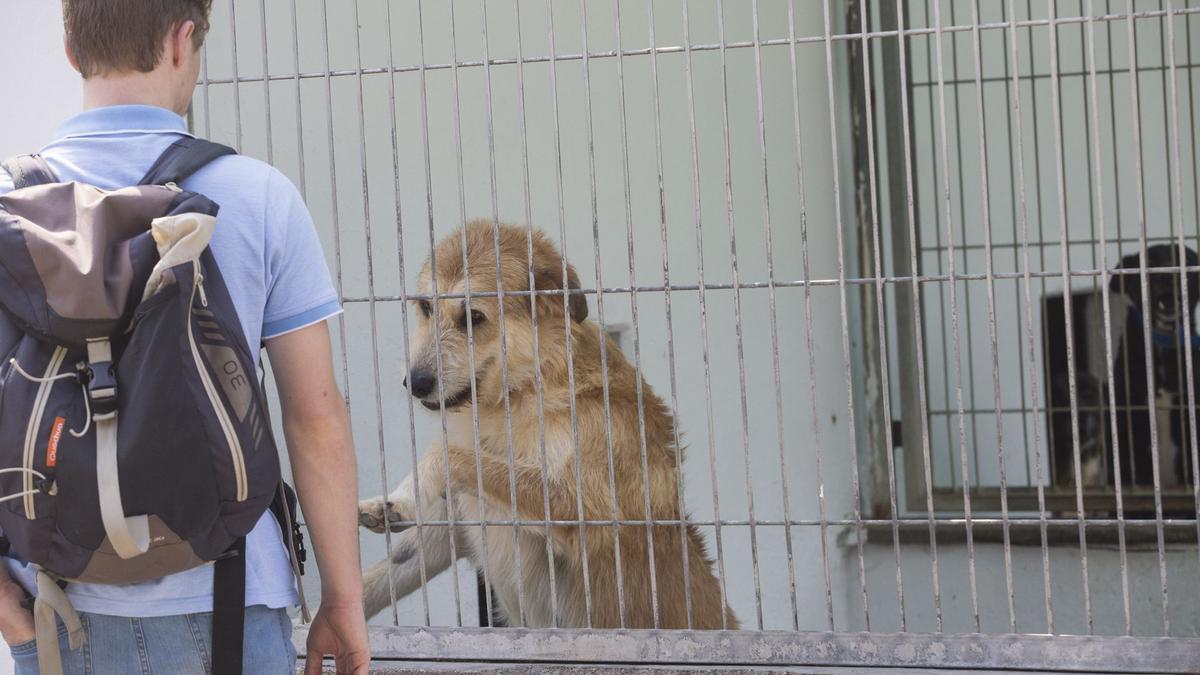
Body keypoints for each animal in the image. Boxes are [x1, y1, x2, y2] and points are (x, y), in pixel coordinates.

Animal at [355, 223, 734, 629]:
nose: (415, 382)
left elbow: (450, 453)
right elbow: (391, 566)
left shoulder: (586, 509)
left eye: (472, 316)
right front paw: (393, 503)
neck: (520, 393)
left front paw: (412, 489)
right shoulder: (457, 522)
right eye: (426, 307)